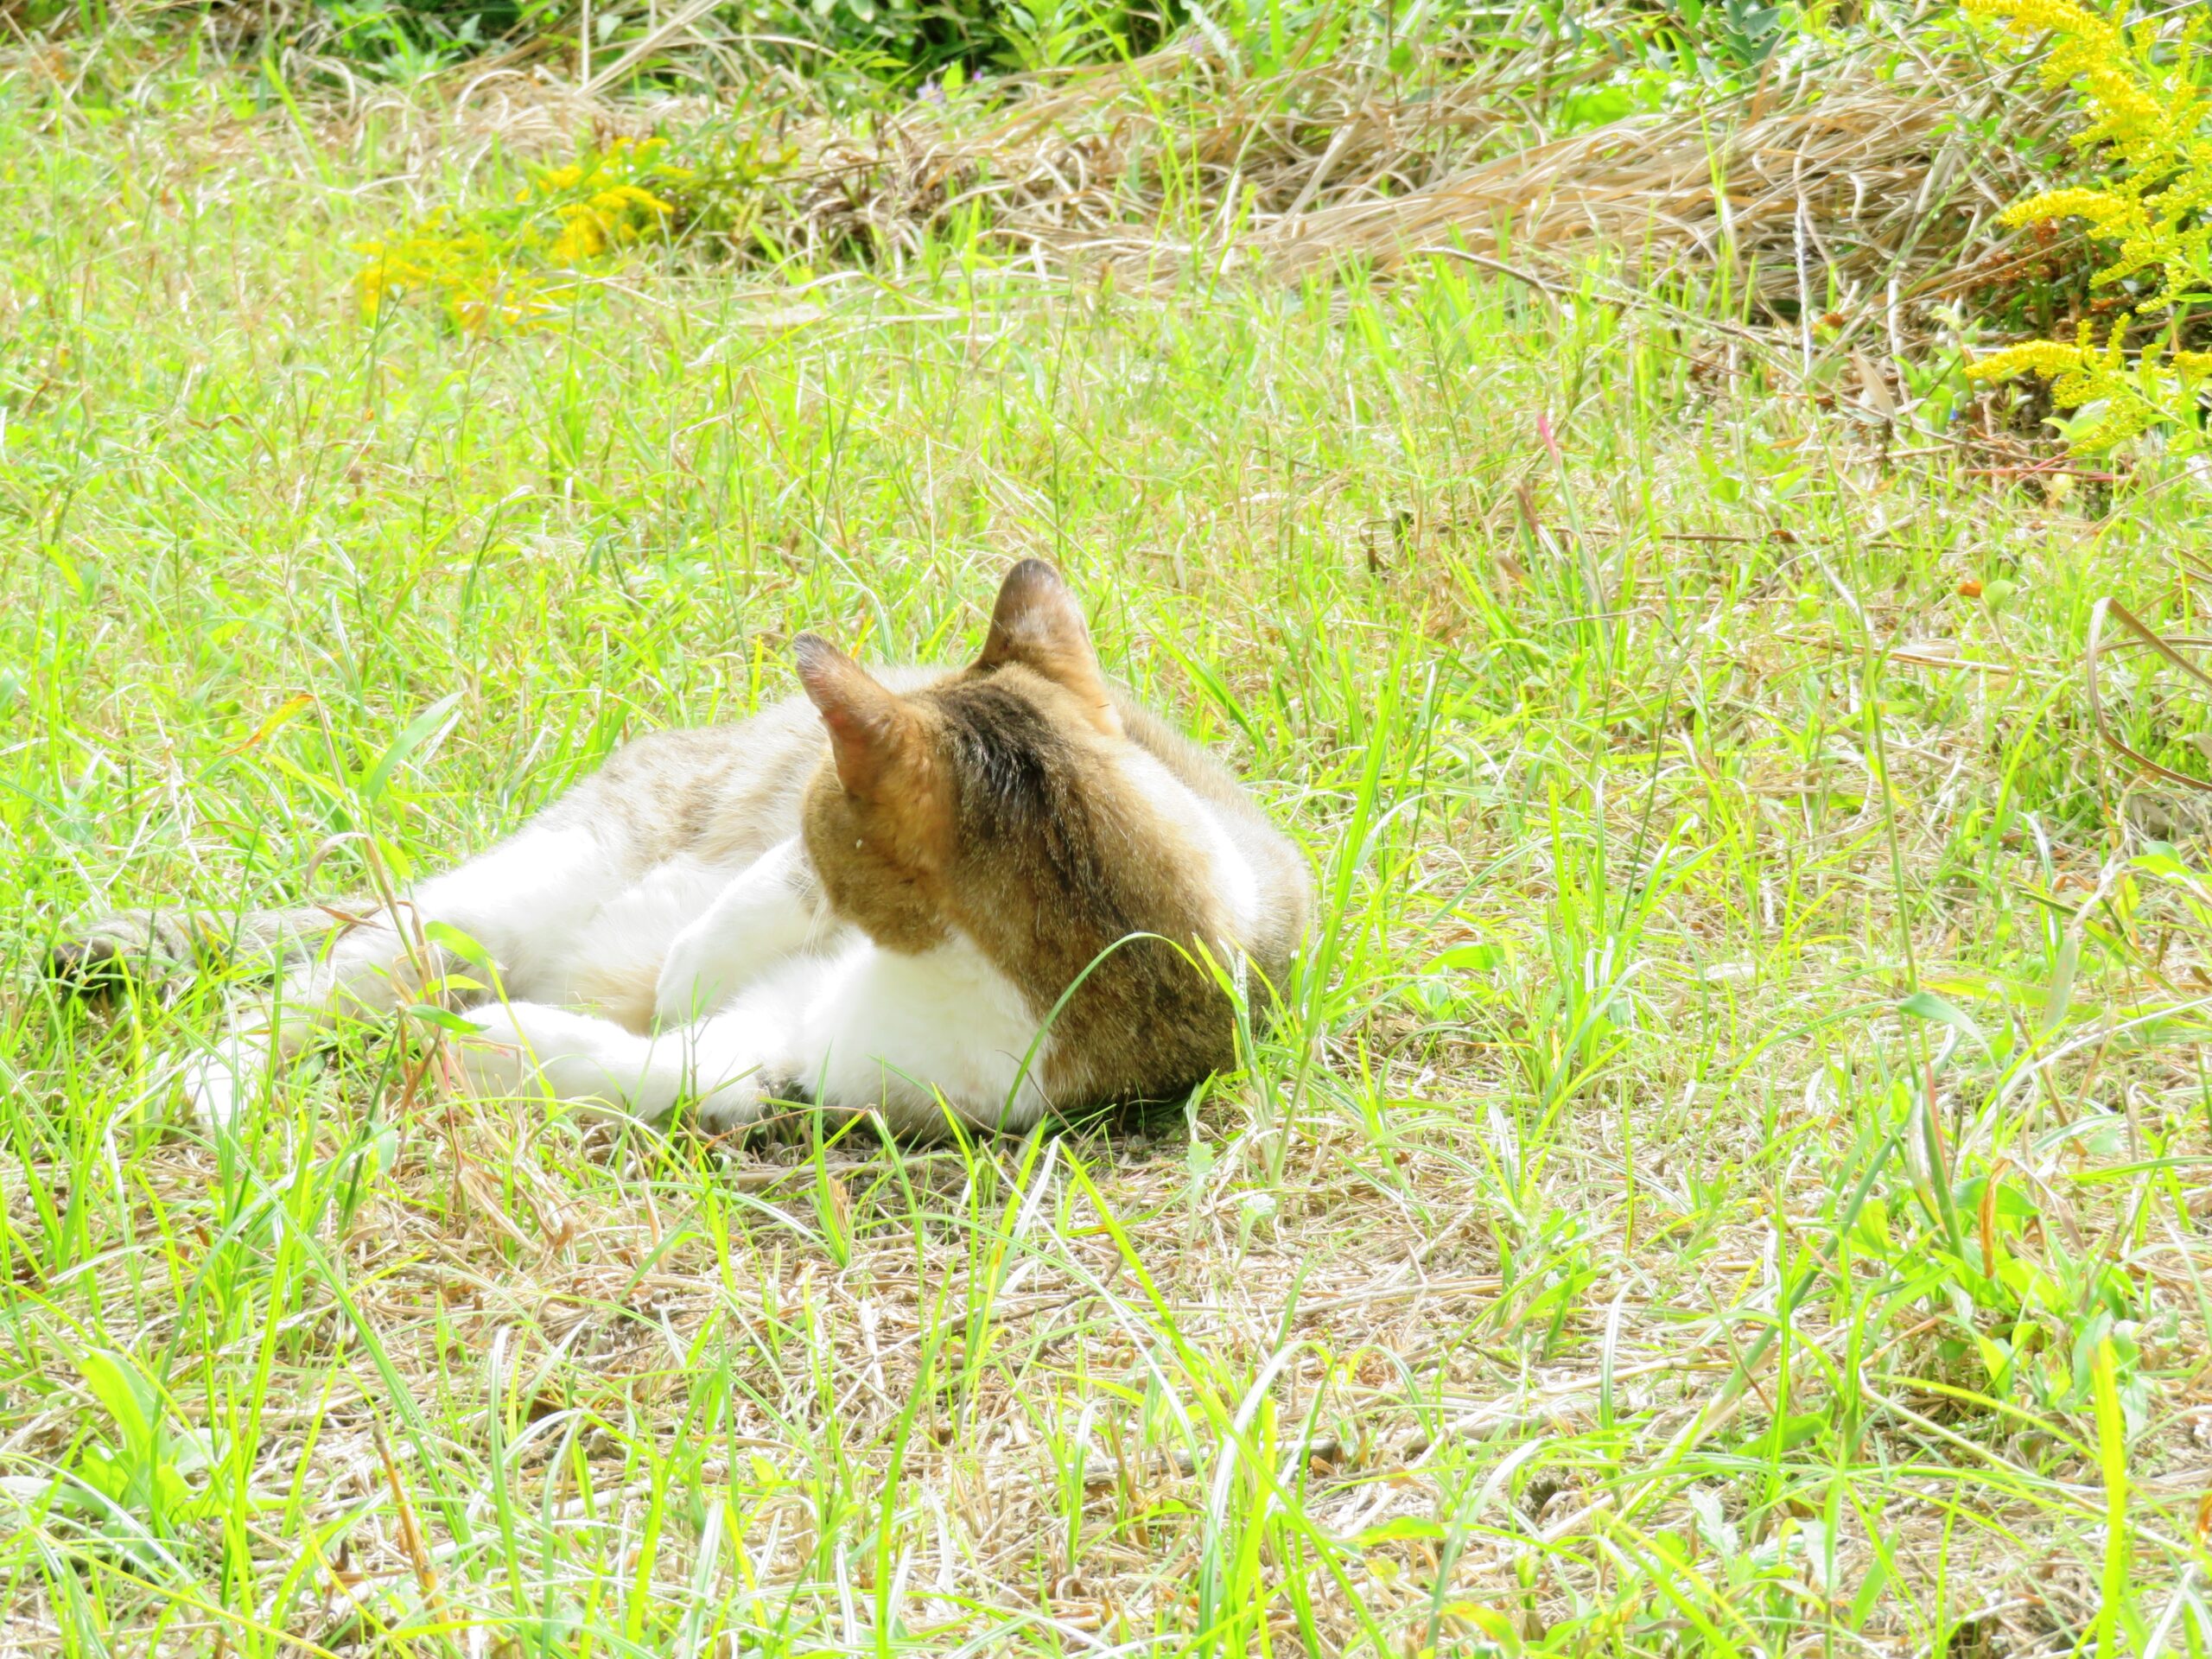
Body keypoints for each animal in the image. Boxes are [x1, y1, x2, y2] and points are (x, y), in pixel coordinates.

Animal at [48, 566, 1309, 1141]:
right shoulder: (787, 859)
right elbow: (754, 905)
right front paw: (686, 966)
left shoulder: (815, 1068)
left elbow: (694, 1072)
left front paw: (506, 1044)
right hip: (507, 894)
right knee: (309, 983)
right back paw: (214, 1087)